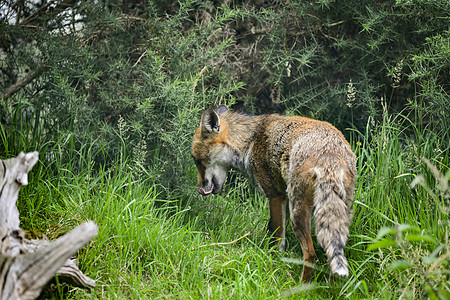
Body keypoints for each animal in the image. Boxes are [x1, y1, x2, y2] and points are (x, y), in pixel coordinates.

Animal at [192, 105, 356, 282]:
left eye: (198, 161)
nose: (200, 189)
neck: (250, 141)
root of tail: (329, 153)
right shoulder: (283, 196)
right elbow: (272, 230)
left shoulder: (275, 194)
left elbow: (278, 239)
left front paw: (275, 262)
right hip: (339, 210)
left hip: (297, 211)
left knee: (310, 254)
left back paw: (302, 285)